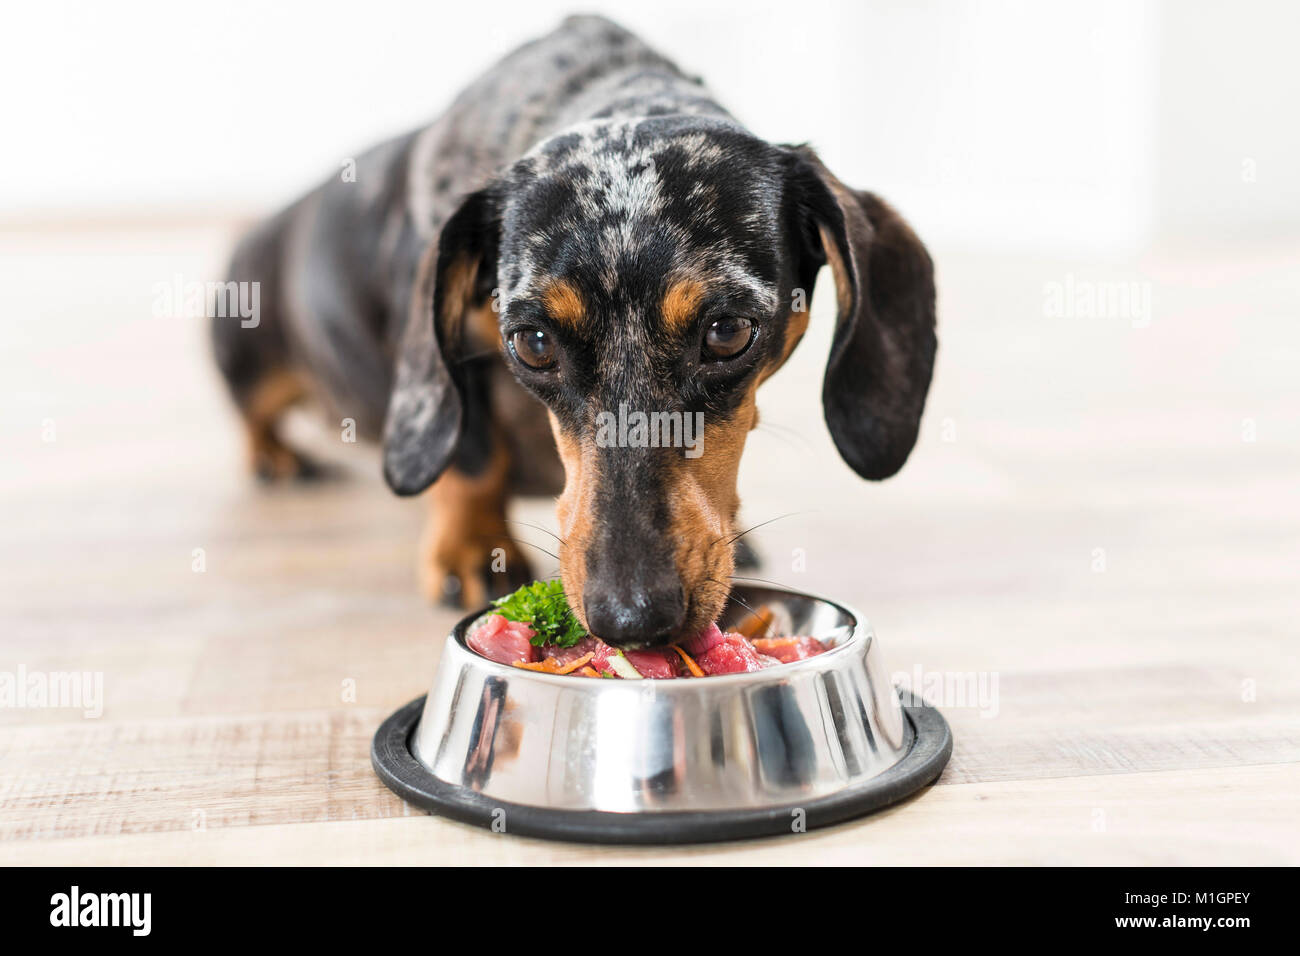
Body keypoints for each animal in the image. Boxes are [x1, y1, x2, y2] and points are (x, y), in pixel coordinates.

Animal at [213, 16, 941, 650]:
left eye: (728, 332)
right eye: (534, 344)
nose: (632, 618)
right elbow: (471, 451)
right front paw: (474, 548)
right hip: (246, 348)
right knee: (254, 413)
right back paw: (278, 456)